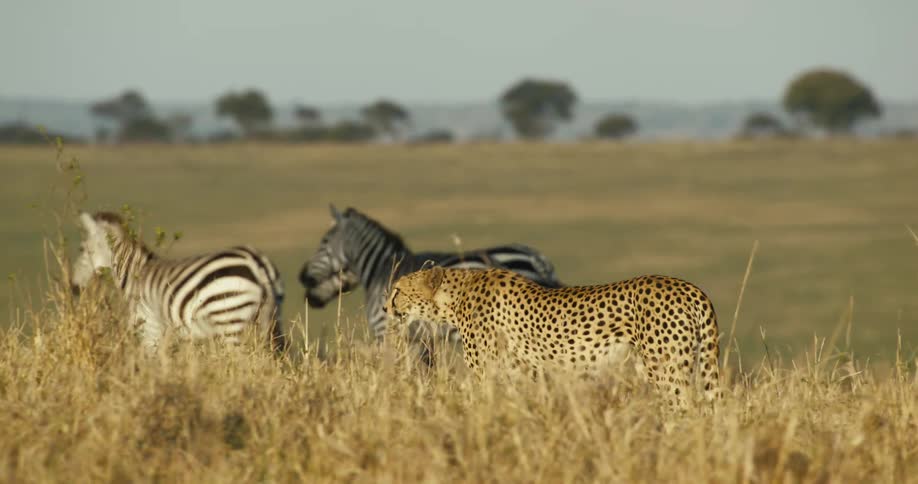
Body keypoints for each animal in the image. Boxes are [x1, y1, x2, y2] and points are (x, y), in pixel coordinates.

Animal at [70, 211, 285, 352]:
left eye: (81, 249)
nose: (73, 287)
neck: (135, 273)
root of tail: (257, 264)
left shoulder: (149, 326)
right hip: (269, 319)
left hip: (229, 320)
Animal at [299, 205, 562, 361]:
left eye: (323, 242)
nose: (301, 277)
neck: (381, 269)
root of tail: (538, 259)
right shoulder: (421, 340)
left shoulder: (387, 332)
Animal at [384, 266, 721, 407]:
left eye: (398, 289)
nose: (386, 306)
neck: (455, 297)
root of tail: (691, 288)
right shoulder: (527, 378)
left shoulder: (490, 376)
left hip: (666, 371)